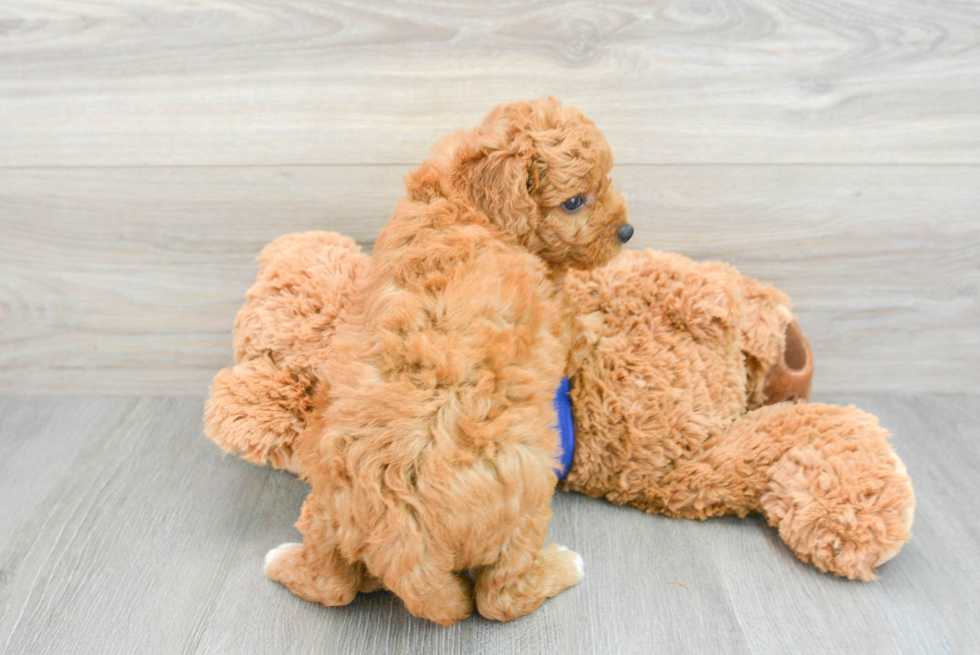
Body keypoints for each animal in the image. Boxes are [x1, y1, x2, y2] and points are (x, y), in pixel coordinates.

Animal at [262, 97, 628, 624]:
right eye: (575, 202)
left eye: (609, 179)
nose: (627, 231)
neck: (465, 201)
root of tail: (404, 542)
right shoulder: (558, 315)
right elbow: (584, 331)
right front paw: (608, 318)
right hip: (527, 498)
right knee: (501, 597)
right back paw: (562, 567)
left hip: (327, 509)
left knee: (333, 585)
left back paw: (284, 561)